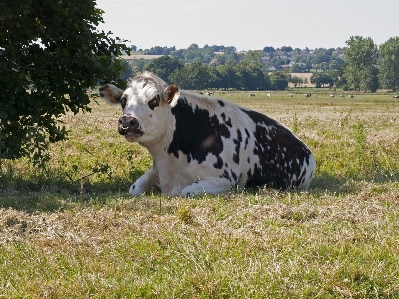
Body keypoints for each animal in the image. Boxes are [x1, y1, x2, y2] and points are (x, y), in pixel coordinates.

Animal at [99, 71, 316, 197]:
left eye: (154, 100)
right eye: (123, 100)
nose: (127, 122)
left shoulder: (224, 181)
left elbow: (185, 192)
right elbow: (134, 189)